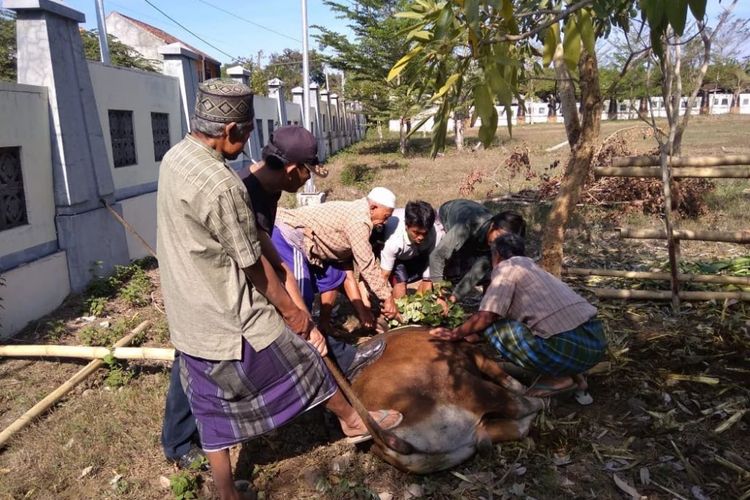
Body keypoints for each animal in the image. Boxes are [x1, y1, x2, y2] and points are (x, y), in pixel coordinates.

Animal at [350, 326, 548, 474]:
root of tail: (385, 438)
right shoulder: (474, 354)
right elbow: (501, 374)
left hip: (472, 438)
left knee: (518, 427)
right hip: (472, 388)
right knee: (519, 406)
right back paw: (540, 397)